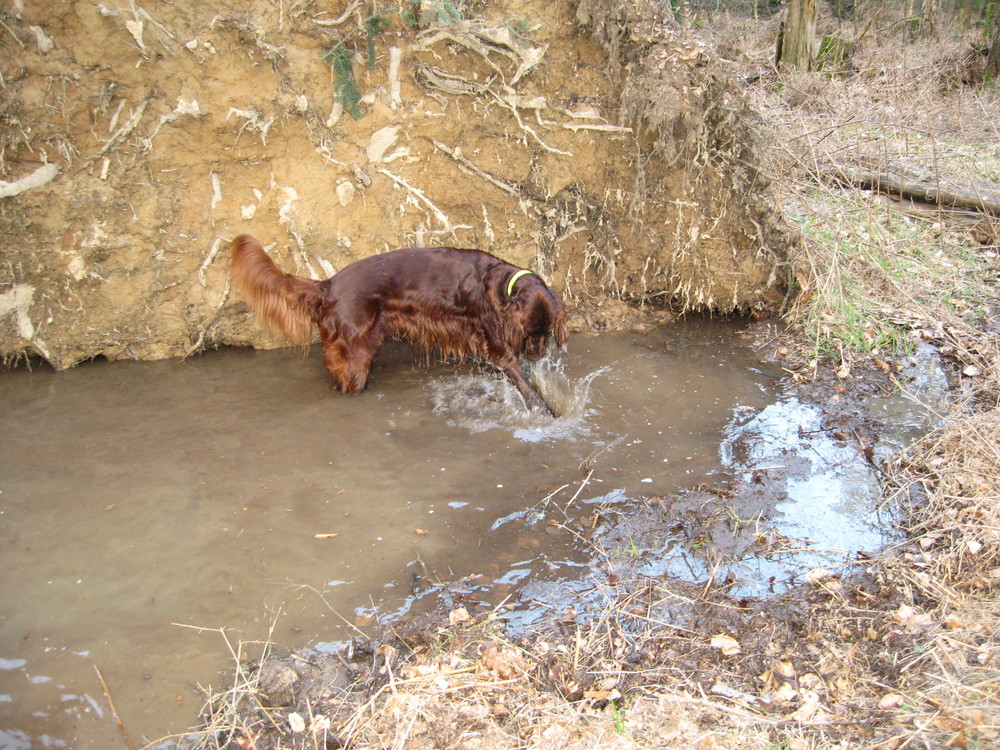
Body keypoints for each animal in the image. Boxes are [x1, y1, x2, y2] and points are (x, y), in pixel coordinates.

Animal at [229, 235, 568, 414]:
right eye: (530, 332)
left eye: (547, 332)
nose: (538, 354)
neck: (499, 282)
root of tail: (327, 285)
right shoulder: (495, 340)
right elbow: (521, 379)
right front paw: (547, 412)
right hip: (357, 355)